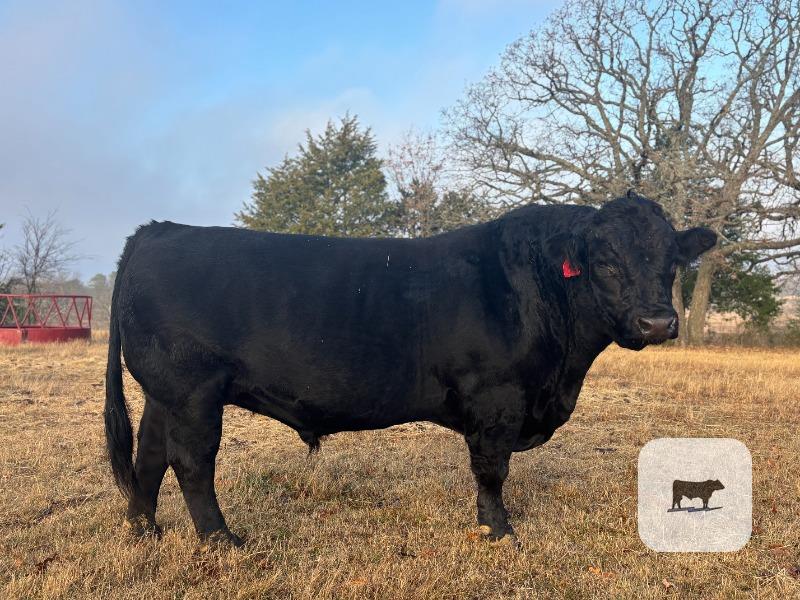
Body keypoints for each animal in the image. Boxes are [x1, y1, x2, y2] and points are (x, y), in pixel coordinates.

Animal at [105, 191, 716, 546]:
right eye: (606, 262)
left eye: (672, 261)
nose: (657, 321)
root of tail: (160, 228)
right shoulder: (497, 398)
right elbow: (491, 471)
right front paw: (499, 532)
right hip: (193, 392)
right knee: (190, 463)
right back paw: (220, 540)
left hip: (164, 393)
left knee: (149, 455)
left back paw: (144, 530)